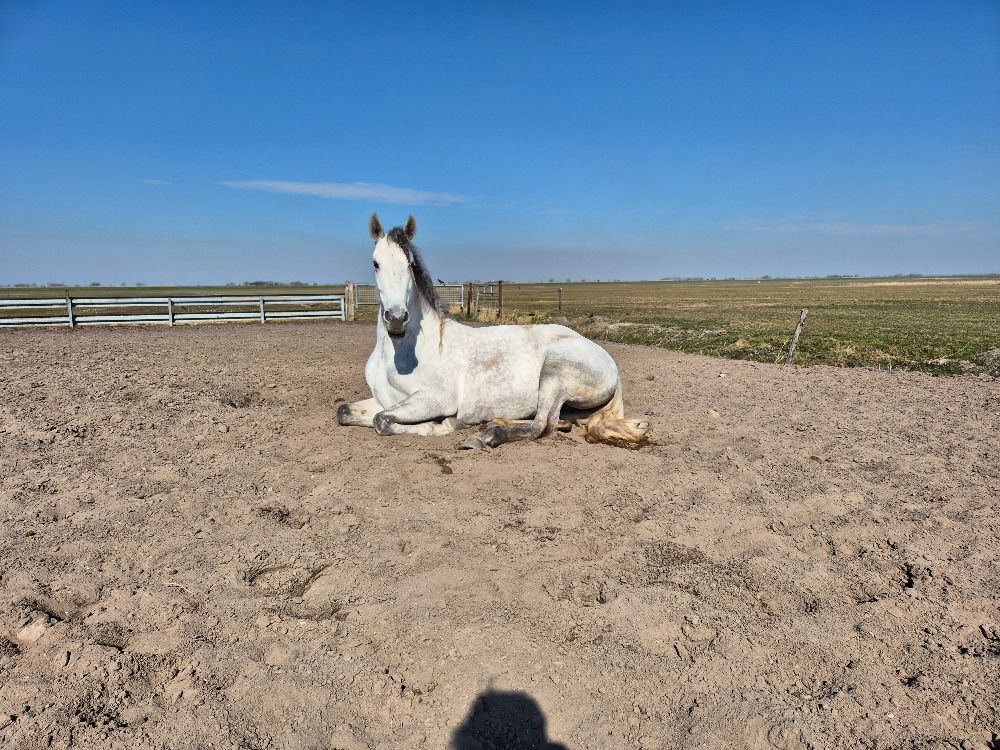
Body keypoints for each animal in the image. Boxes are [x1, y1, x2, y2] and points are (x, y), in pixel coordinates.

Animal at [336, 214, 651, 450]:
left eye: (410, 264)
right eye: (375, 263)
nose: (397, 320)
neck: (402, 354)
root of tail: (607, 360)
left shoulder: (434, 399)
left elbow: (382, 422)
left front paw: (445, 425)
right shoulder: (384, 399)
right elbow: (345, 412)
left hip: (554, 372)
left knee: (542, 427)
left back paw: (485, 435)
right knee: (555, 421)